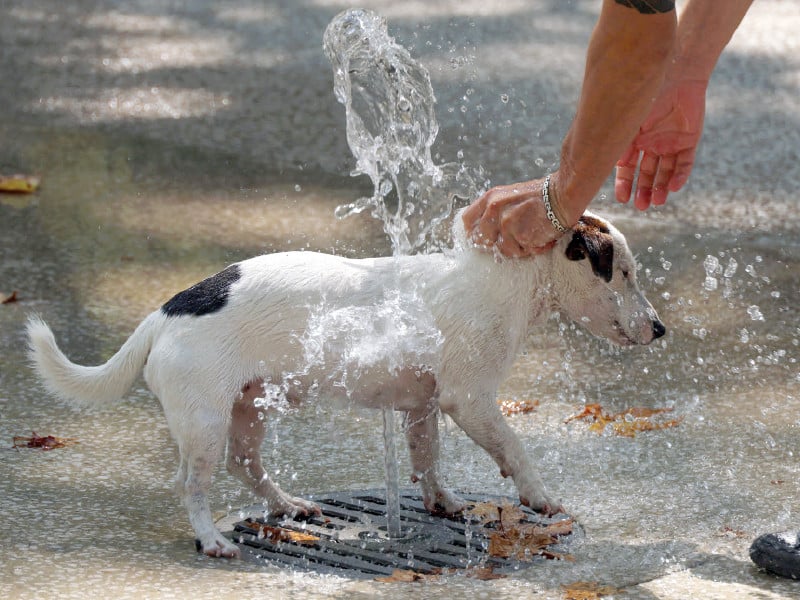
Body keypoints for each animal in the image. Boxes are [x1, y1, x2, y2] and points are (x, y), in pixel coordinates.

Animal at [26, 211, 664, 556]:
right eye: (624, 273)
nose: (660, 329)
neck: (504, 282)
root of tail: (166, 311)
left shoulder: (423, 406)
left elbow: (427, 460)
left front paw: (443, 503)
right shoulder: (472, 400)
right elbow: (515, 449)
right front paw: (540, 496)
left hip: (251, 407)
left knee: (245, 463)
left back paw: (289, 505)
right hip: (204, 422)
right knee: (193, 484)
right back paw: (211, 539)